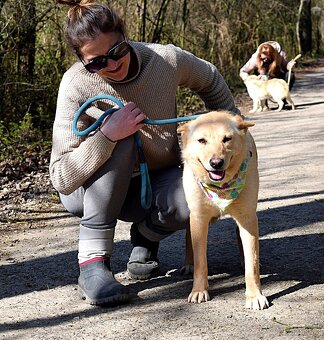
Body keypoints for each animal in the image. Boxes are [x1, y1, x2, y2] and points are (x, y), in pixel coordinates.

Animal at [177, 110, 268, 310]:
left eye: (227, 139)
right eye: (201, 140)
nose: (216, 163)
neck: (221, 189)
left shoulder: (247, 218)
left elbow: (252, 264)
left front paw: (254, 295)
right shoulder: (199, 217)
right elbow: (200, 262)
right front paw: (199, 290)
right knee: (188, 235)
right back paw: (188, 263)